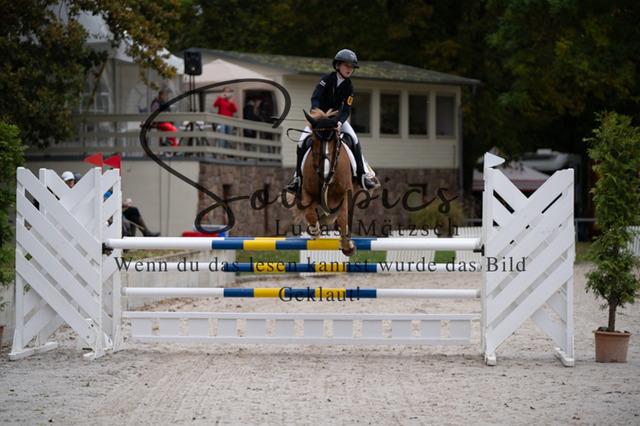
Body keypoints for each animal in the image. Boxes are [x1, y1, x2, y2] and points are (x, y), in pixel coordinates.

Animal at [291, 109, 356, 256]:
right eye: (313, 141)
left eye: (336, 140)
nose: (325, 174)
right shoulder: (307, 191)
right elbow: (310, 214)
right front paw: (315, 231)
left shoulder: (346, 191)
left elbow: (343, 216)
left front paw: (347, 246)